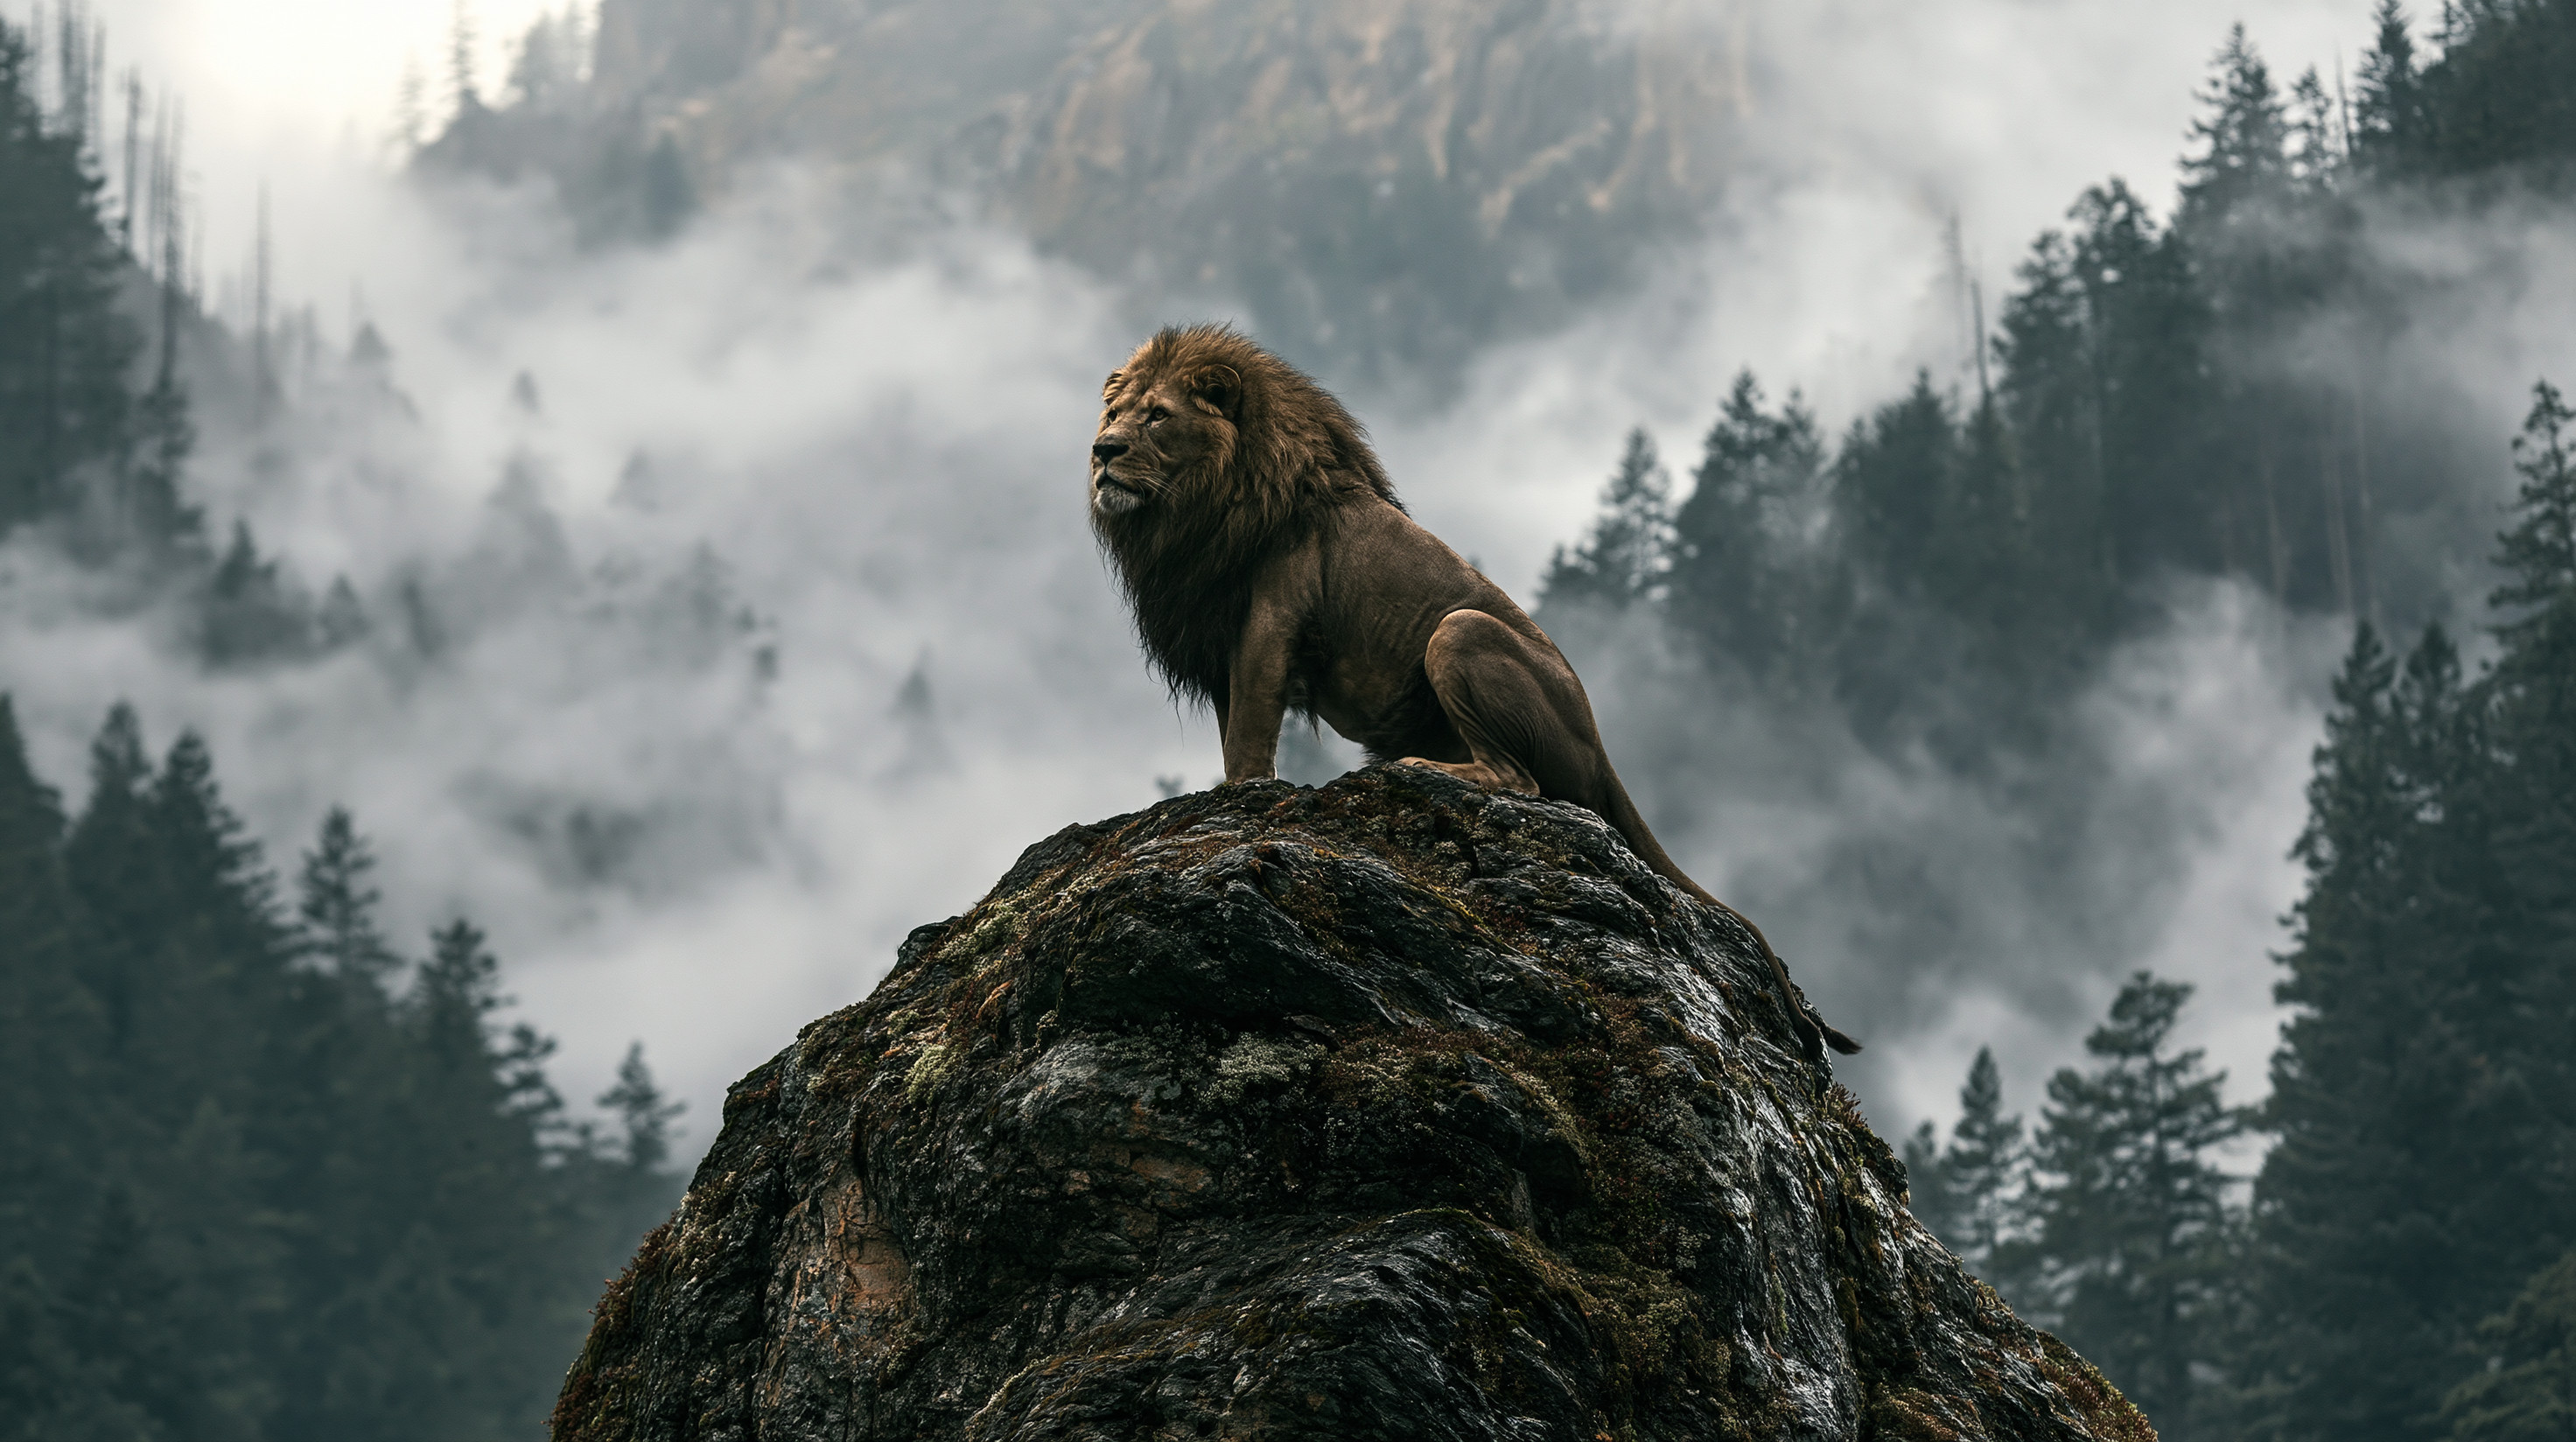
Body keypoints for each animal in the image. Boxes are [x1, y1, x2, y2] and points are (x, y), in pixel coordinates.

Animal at [1089, 324, 1859, 1061]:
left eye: (1157, 416)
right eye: (1114, 412)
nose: (1102, 451)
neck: (1186, 517)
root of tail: (1601, 748)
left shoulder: (1270, 622)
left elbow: (1250, 734)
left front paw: (1238, 799)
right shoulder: (1218, 639)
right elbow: (1233, 729)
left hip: (1459, 630)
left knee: (1518, 780)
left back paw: (1419, 768)